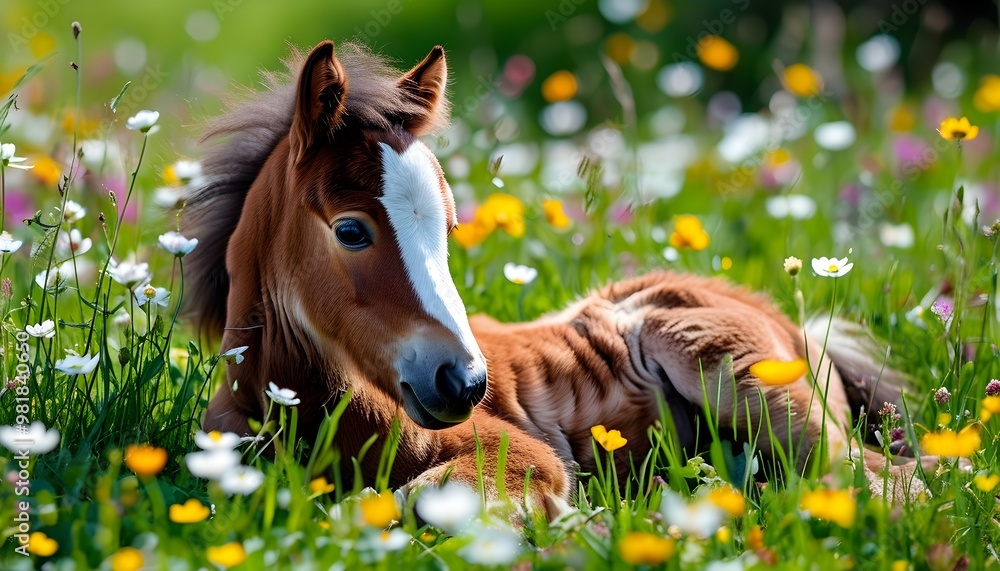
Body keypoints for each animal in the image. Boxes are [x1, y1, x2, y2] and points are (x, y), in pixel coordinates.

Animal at [186, 40, 920, 512]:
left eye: (448, 227)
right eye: (350, 230)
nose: (465, 383)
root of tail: (793, 324)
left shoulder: (520, 455)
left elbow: (409, 503)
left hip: (746, 382)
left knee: (894, 478)